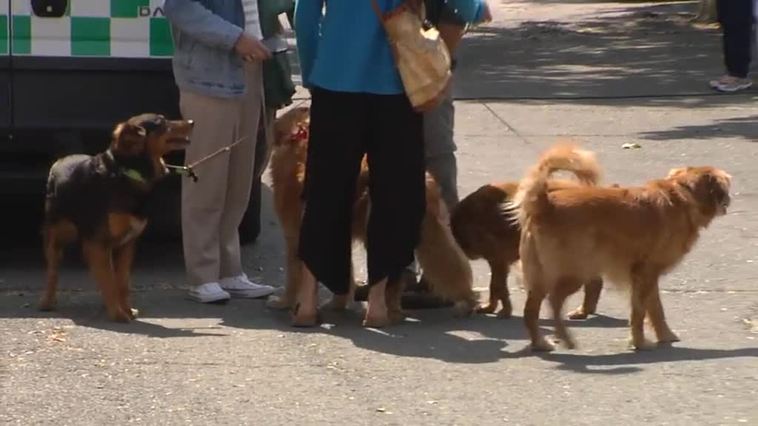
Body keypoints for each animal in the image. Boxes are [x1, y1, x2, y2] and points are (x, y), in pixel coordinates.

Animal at [40, 115, 196, 322]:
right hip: (57, 236)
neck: (128, 171)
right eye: (161, 123)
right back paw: (47, 301)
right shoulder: (98, 243)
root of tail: (63, 159)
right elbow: (109, 281)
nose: (192, 122)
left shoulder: (127, 244)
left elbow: (121, 282)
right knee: (53, 271)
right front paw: (117, 313)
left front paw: (126, 309)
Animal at [512, 145, 732, 352]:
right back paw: (565, 339)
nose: (730, 200)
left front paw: (665, 335)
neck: (682, 195)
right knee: (554, 302)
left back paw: (541, 342)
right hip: (577, 270)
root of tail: (545, 205)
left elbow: (655, 309)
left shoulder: (648, 277)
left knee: (530, 311)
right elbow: (639, 312)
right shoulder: (645, 274)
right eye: (726, 189)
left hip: (540, 275)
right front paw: (639, 342)